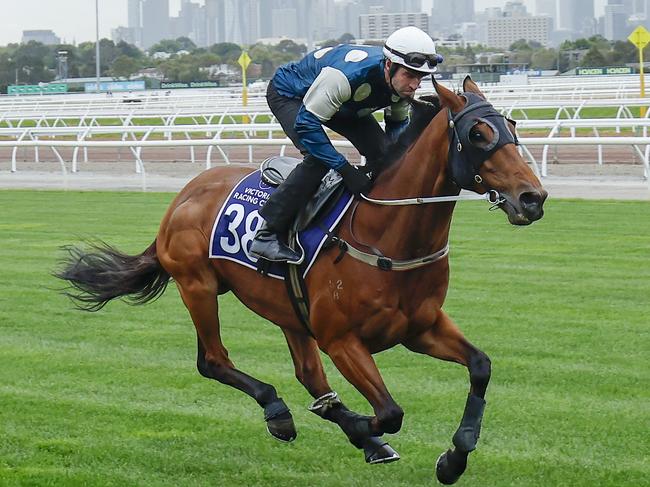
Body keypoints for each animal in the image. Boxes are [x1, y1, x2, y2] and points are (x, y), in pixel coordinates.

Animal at [55, 77, 544, 484]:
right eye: (478, 134)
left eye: (513, 125)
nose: (532, 197)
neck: (386, 235)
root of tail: (182, 196)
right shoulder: (341, 339)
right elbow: (390, 412)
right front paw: (362, 428)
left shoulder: (420, 327)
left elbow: (480, 366)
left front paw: (453, 458)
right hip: (198, 286)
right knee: (213, 360)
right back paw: (281, 412)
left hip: (287, 310)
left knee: (305, 373)